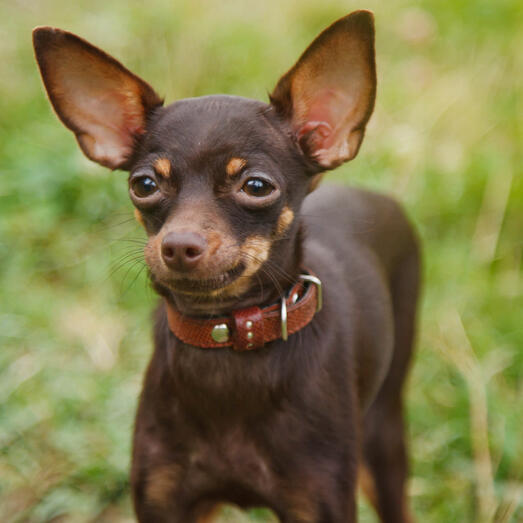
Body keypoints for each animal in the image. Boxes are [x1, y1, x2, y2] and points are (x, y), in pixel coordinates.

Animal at [33, 10, 422, 520]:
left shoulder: (319, 503)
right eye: (143, 185)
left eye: (256, 186)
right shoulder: (165, 500)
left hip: (383, 434)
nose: (179, 245)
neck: (225, 338)